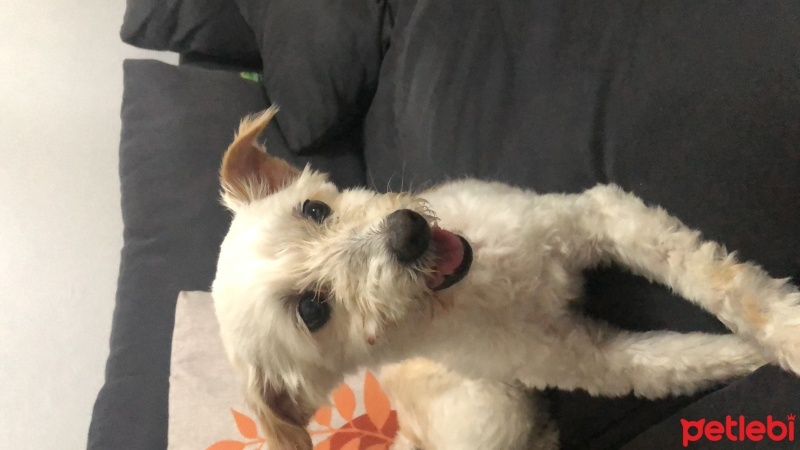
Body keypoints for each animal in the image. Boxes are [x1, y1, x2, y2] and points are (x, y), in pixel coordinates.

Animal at [211, 109, 800, 450]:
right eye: (312, 311)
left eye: (314, 210)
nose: (407, 233)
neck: (480, 280)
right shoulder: (595, 359)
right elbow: (683, 359)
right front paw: (761, 356)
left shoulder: (599, 217)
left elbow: (722, 282)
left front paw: (784, 328)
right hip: (496, 409)